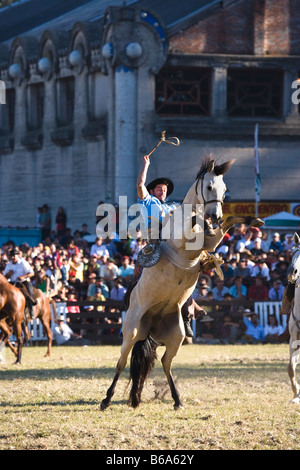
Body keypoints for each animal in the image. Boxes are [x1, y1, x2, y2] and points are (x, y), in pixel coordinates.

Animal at [100, 156, 262, 410]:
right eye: (209, 186)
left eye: (224, 189)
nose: (214, 216)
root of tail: (150, 323)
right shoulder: (184, 238)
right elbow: (194, 221)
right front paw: (201, 219)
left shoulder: (212, 240)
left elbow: (228, 223)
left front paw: (253, 219)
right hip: (131, 331)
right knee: (121, 362)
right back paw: (106, 399)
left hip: (176, 335)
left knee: (166, 362)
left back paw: (177, 399)